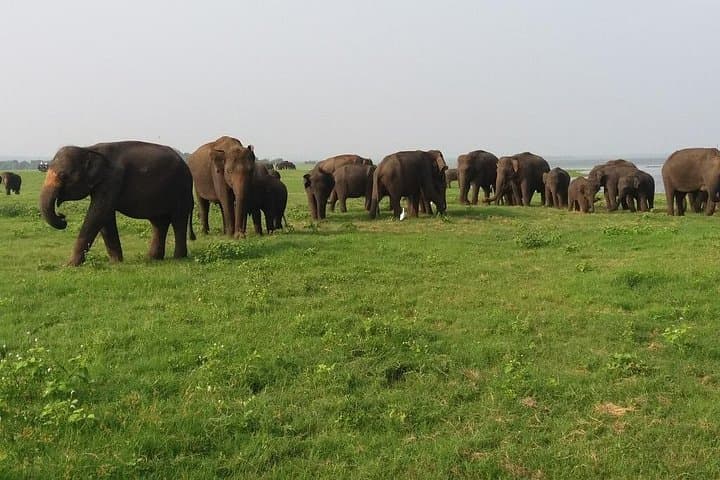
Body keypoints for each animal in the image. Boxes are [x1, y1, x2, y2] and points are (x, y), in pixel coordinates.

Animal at [40, 141, 194, 266]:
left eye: (63, 176)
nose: (63, 217)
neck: (89, 149)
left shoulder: (112, 179)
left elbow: (98, 213)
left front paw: (69, 265)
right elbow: (105, 217)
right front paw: (116, 262)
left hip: (181, 190)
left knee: (178, 220)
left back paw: (178, 258)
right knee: (159, 223)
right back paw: (152, 259)